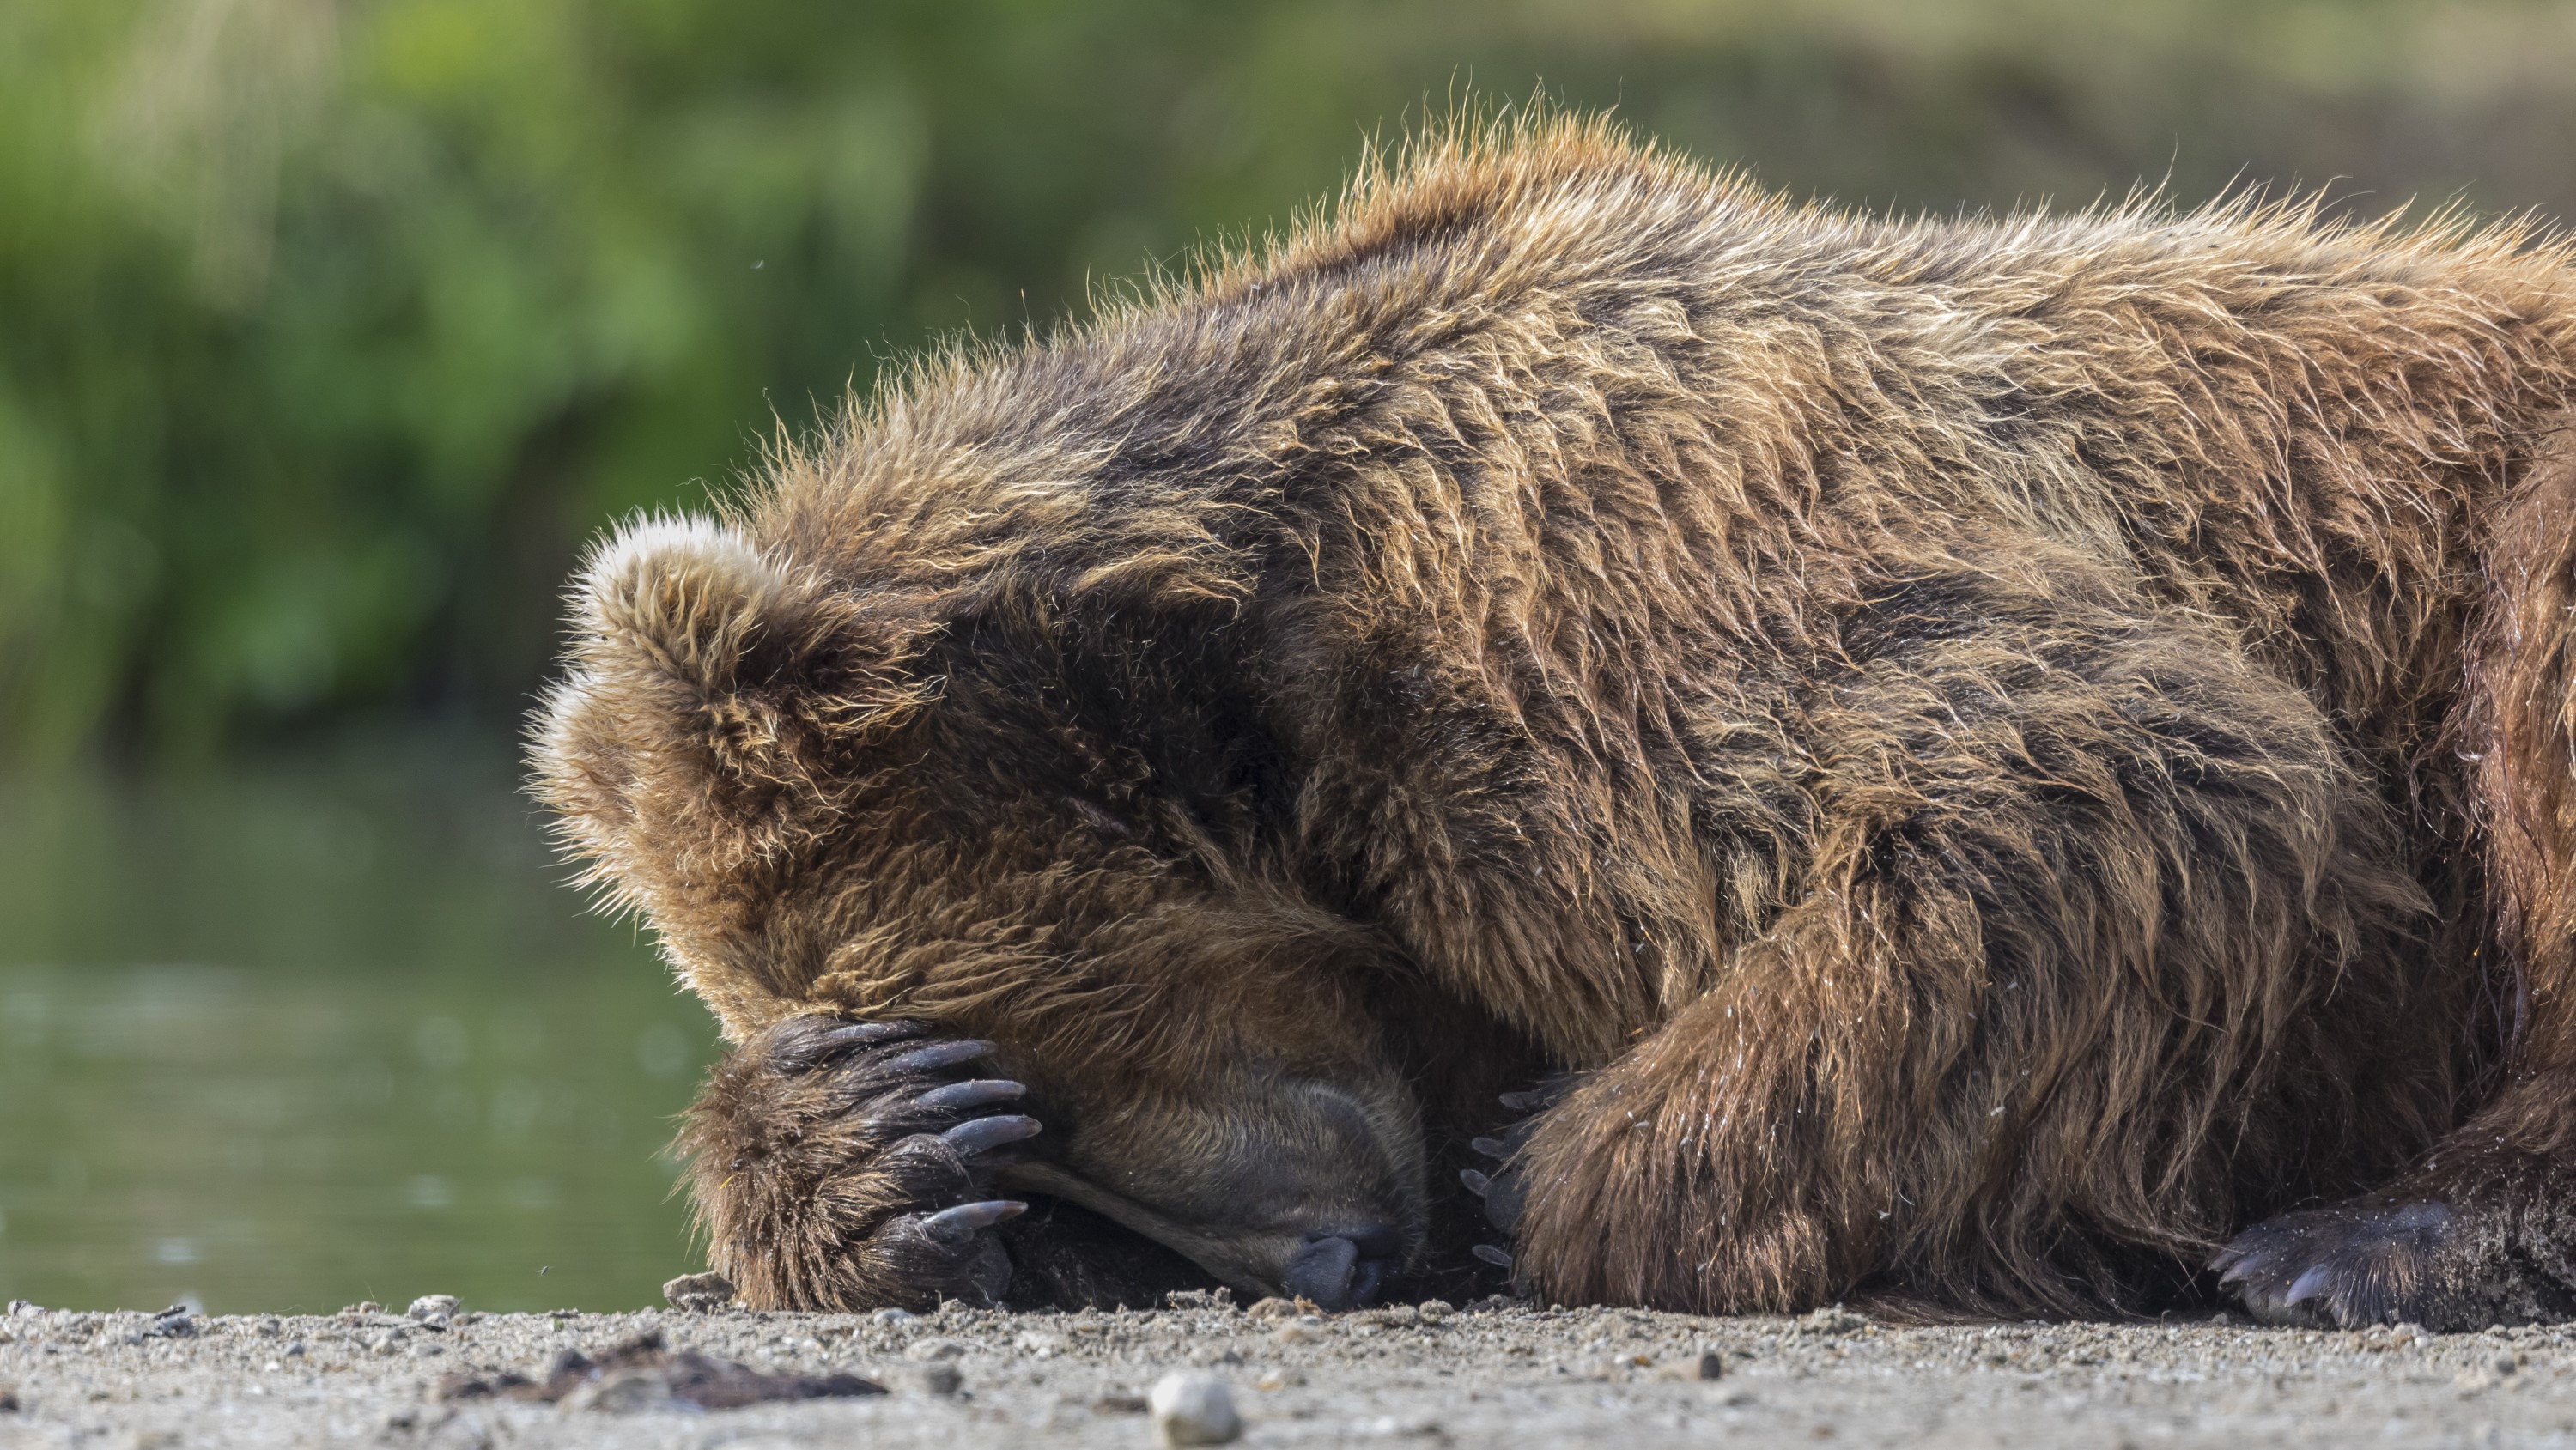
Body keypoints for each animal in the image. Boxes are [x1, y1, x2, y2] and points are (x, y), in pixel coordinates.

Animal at [528, 113, 2576, 1329]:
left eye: (1043, 1029)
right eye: (1023, 1113)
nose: (1318, 1257)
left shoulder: (1589, 555)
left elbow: (2102, 774)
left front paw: (1545, 1172)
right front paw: (870, 1152)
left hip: (2520, 505)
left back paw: (2370, 1237)